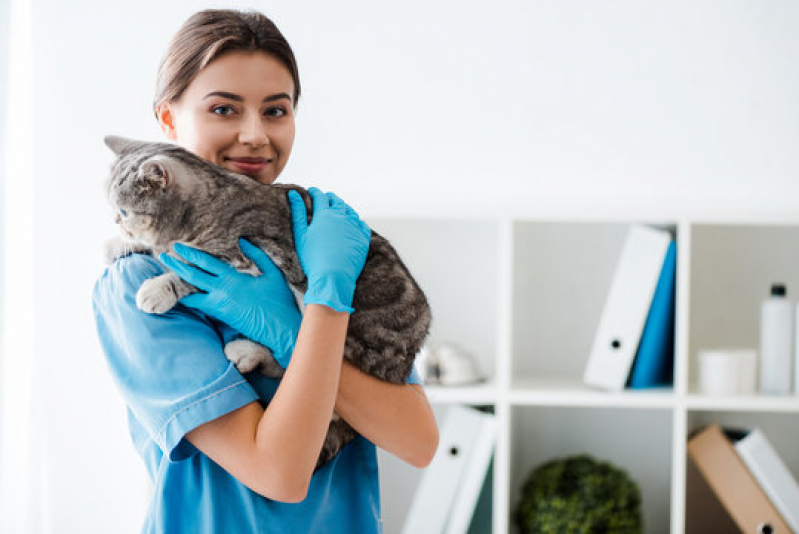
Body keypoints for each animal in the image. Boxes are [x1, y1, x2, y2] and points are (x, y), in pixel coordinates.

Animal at [104, 136, 434, 472]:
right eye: (113, 209)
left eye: (123, 210)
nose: (115, 221)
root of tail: (406, 359)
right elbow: (160, 250)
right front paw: (117, 245)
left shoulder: (249, 261)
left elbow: (187, 271)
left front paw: (157, 288)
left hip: (347, 322)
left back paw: (247, 350)